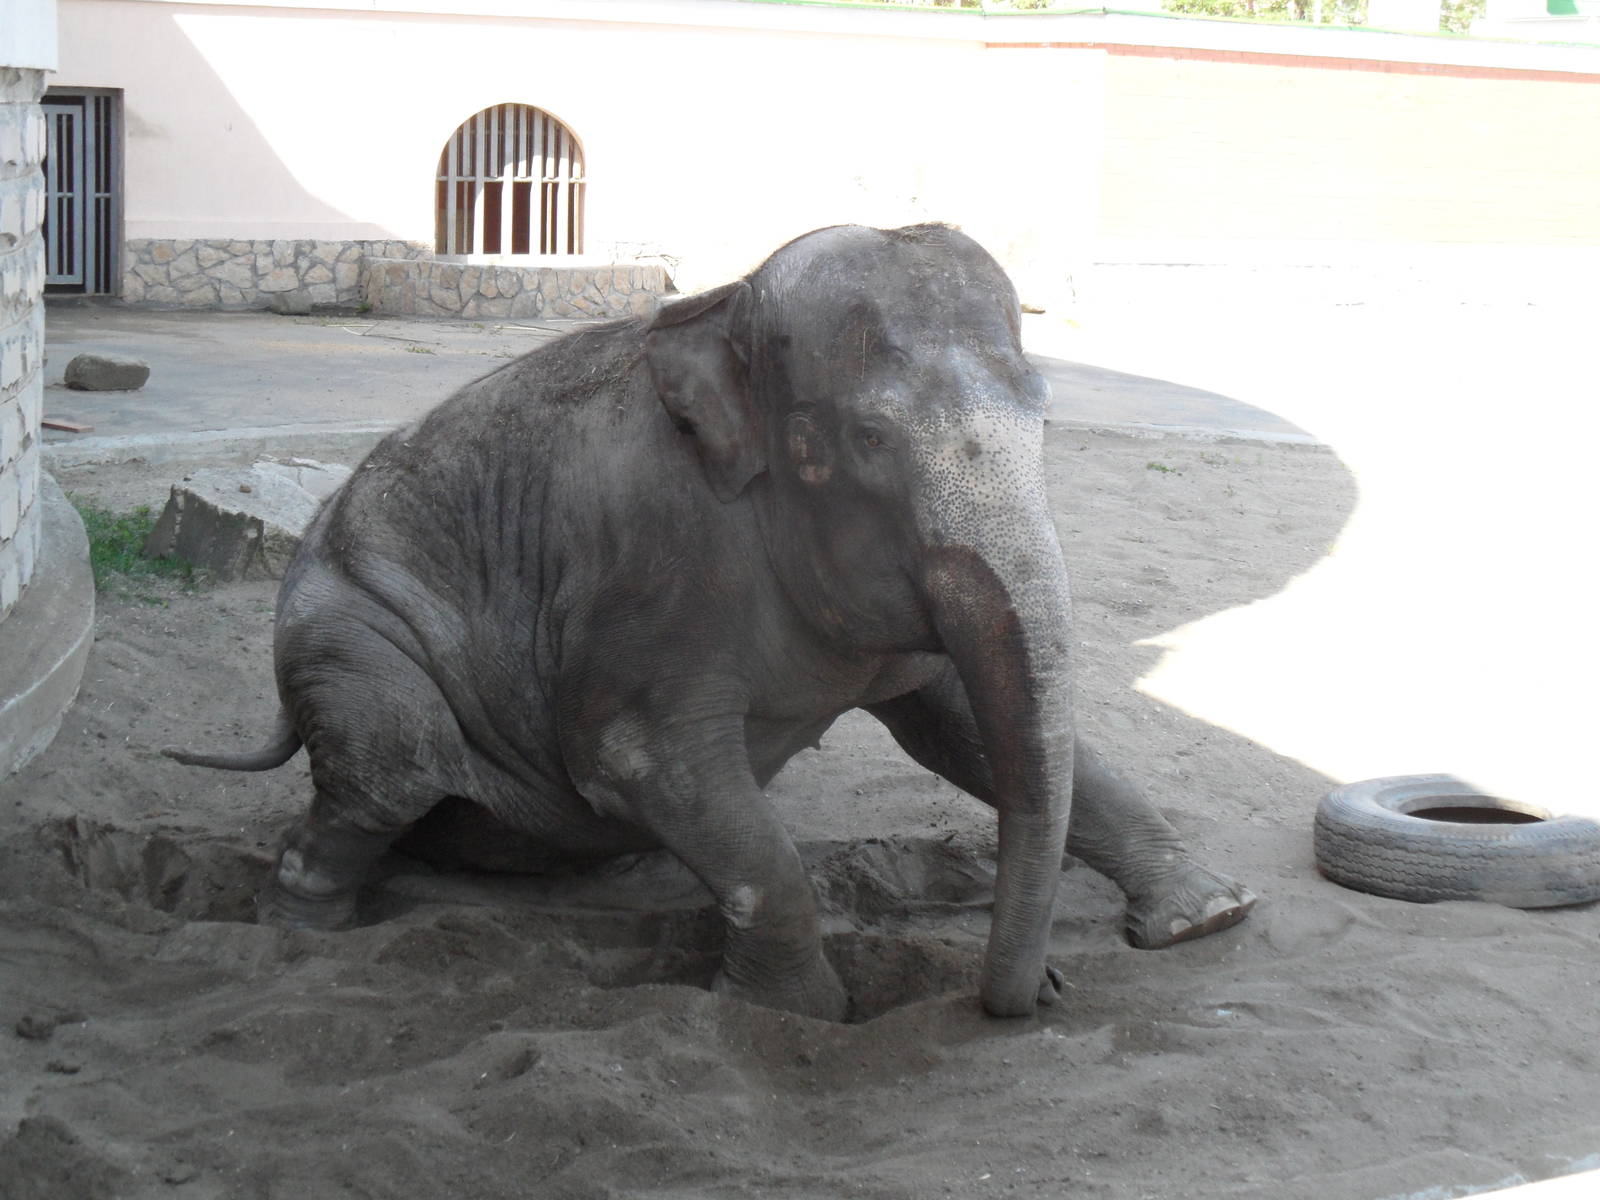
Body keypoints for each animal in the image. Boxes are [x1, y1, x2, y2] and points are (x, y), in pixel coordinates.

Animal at [166, 224, 1255, 1020]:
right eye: (870, 436)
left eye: (1047, 414)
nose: (1040, 994)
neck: (727, 308)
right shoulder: (647, 559)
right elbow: (641, 763)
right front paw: (806, 1013)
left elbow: (960, 725)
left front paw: (1206, 917)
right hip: (344, 636)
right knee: (388, 770)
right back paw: (299, 939)